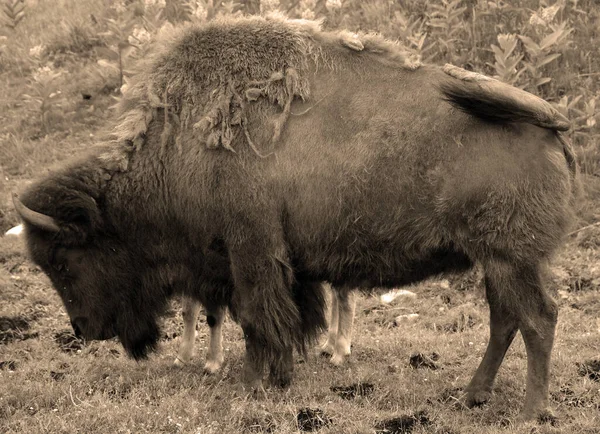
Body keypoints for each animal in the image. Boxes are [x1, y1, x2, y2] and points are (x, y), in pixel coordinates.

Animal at [14, 14, 576, 420]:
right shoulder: (281, 263)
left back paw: (529, 411)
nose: (84, 329)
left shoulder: (251, 250)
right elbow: (284, 316)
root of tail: (549, 121)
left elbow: (256, 316)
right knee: (505, 320)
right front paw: (280, 375)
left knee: (536, 319)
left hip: (511, 258)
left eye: (64, 261)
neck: (175, 149)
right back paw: (472, 396)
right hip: (498, 260)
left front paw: (254, 384)